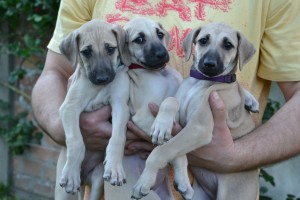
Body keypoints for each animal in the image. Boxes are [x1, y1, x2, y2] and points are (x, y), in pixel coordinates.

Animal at [55, 19, 131, 200]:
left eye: (110, 49)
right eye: (86, 52)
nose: (102, 78)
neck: (99, 88)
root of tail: (83, 180)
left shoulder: (120, 106)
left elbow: (118, 138)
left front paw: (115, 168)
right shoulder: (69, 107)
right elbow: (75, 141)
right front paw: (71, 173)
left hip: (97, 182)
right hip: (63, 194)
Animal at [131, 22, 260, 200]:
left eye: (228, 45)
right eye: (203, 40)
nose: (209, 64)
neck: (201, 82)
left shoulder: (198, 128)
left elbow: (162, 150)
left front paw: (144, 181)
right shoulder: (180, 112)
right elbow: (170, 100)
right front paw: (161, 126)